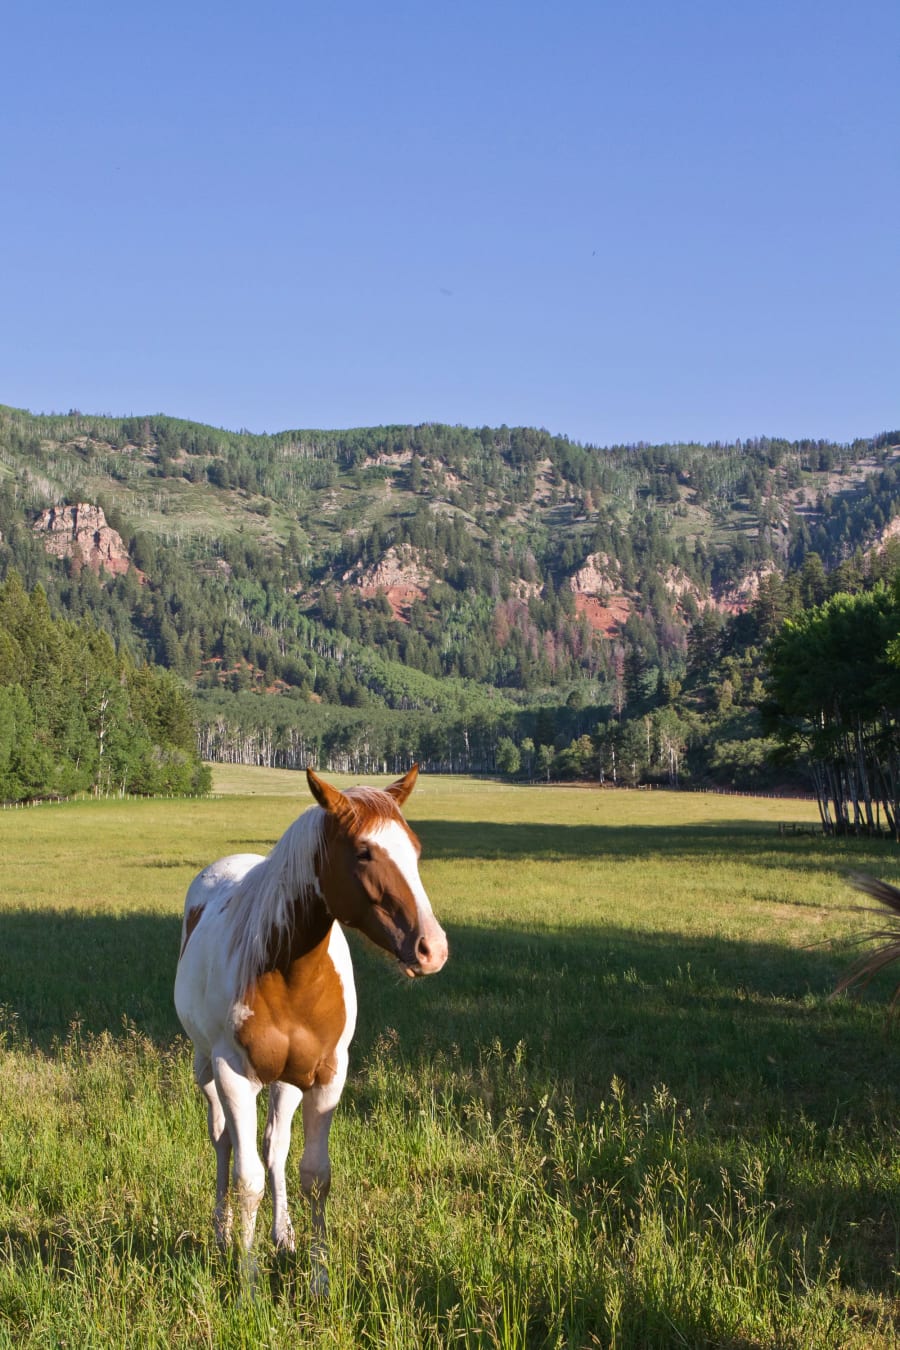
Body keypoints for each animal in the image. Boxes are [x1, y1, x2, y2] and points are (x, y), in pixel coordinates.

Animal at [172, 766, 447, 1290]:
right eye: (364, 852)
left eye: (416, 848)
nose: (432, 949)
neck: (287, 972)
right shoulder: (233, 1076)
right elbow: (248, 1180)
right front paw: (248, 1283)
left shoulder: (327, 1075)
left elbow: (314, 1175)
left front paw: (317, 1276)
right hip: (206, 1070)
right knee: (223, 1142)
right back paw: (221, 1234)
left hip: (287, 1082)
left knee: (274, 1146)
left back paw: (284, 1236)